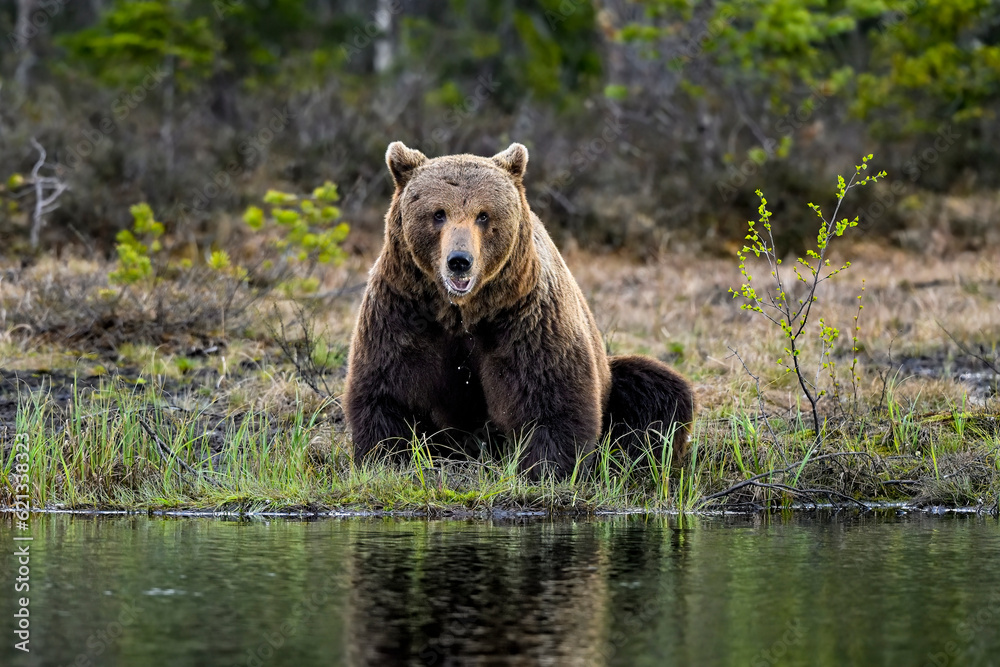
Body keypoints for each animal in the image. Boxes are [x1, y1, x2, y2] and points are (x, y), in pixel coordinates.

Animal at [344, 141, 696, 478]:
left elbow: (550, 399)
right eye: (438, 213)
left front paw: (547, 469)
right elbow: (390, 392)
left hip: (611, 379)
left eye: (483, 215)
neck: (462, 311)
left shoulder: (526, 317)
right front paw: (388, 459)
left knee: (658, 393)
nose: (459, 261)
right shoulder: (404, 309)